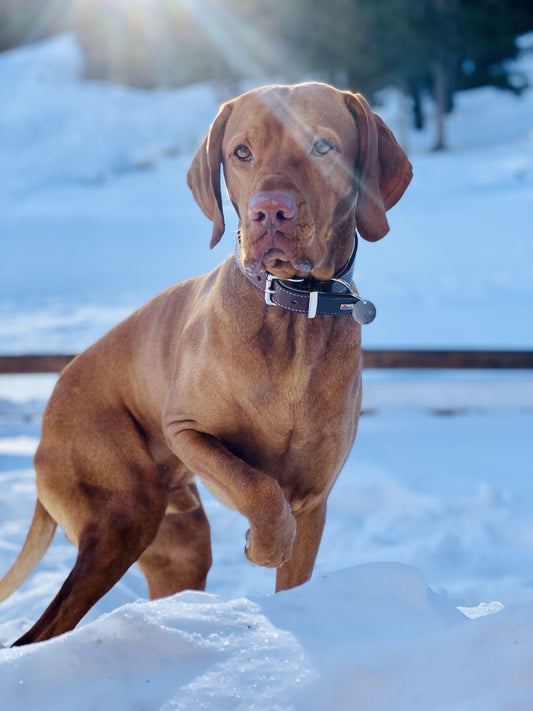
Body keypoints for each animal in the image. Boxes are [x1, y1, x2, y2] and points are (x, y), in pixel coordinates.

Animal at [0, 83, 410, 644]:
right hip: (122, 514)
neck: (292, 314)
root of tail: (44, 424)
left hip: (179, 544)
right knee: (38, 633)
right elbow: (258, 486)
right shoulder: (186, 430)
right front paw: (264, 544)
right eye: (241, 152)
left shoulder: (313, 499)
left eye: (322, 146)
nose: (269, 212)